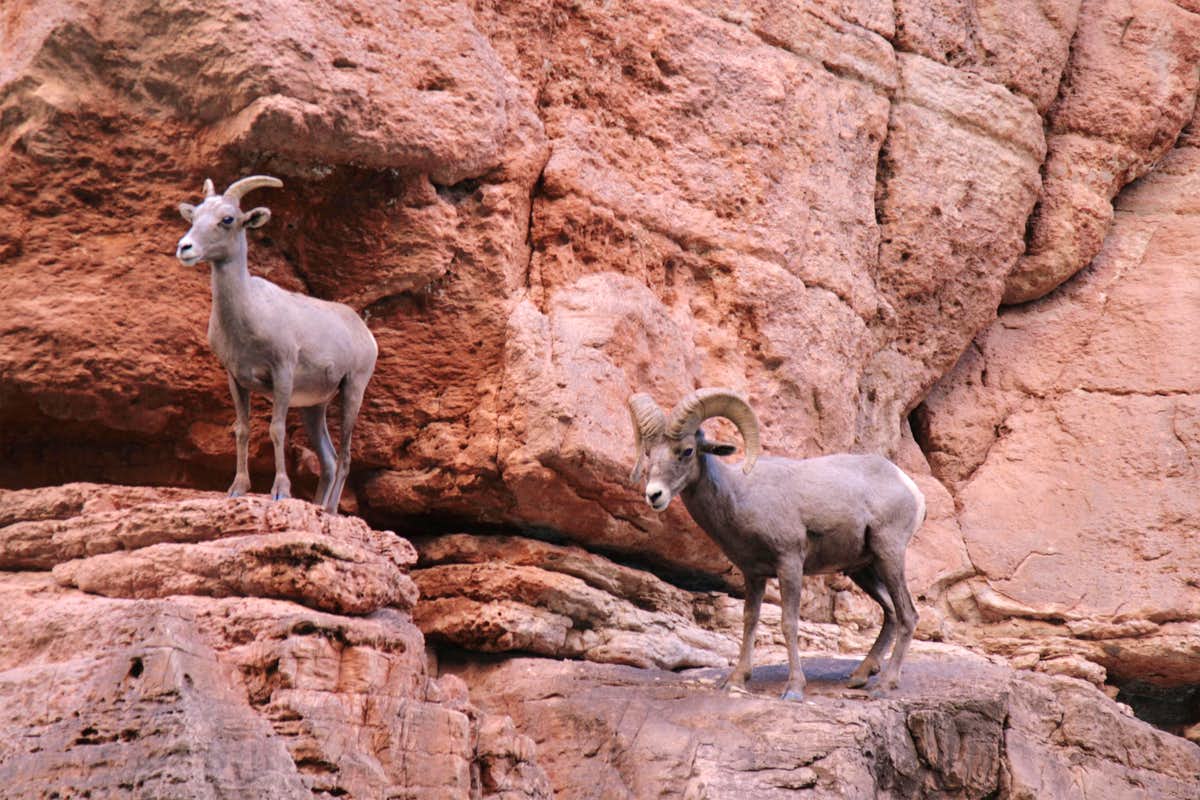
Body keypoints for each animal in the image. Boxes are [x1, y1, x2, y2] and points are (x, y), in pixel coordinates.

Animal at [176, 176, 377, 514]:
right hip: (314, 407)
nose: (185, 248)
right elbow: (242, 429)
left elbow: (276, 429)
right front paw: (237, 489)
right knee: (329, 458)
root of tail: (365, 332)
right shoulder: (235, 378)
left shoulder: (282, 373)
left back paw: (330, 511)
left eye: (228, 219)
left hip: (353, 390)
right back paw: (318, 506)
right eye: (195, 216)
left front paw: (280, 492)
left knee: (346, 457)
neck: (249, 315)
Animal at [628, 388, 925, 701]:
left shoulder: (789, 564)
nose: (654, 495)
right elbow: (749, 620)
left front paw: (793, 689)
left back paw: (884, 685)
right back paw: (859, 676)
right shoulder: (753, 574)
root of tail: (911, 489)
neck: (739, 495)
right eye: (648, 452)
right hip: (862, 569)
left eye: (686, 451)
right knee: (890, 612)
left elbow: (788, 623)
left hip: (889, 555)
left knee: (907, 615)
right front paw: (736, 680)